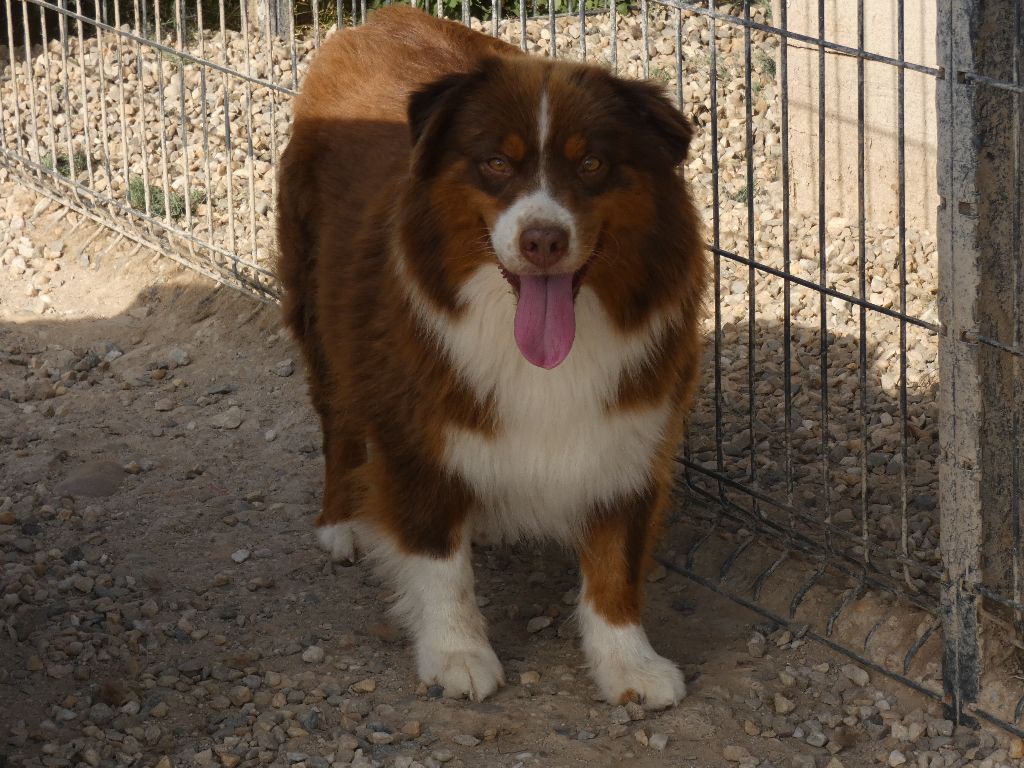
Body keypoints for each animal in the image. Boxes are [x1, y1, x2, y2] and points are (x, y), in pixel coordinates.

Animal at [276, 5, 706, 709]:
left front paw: (630, 665)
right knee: (336, 421)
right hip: (318, 309)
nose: (542, 240)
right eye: (496, 164)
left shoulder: (630, 431)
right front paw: (457, 653)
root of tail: (379, 19)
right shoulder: (416, 430)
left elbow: (615, 565)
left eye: (592, 163)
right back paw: (340, 521)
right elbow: (439, 559)